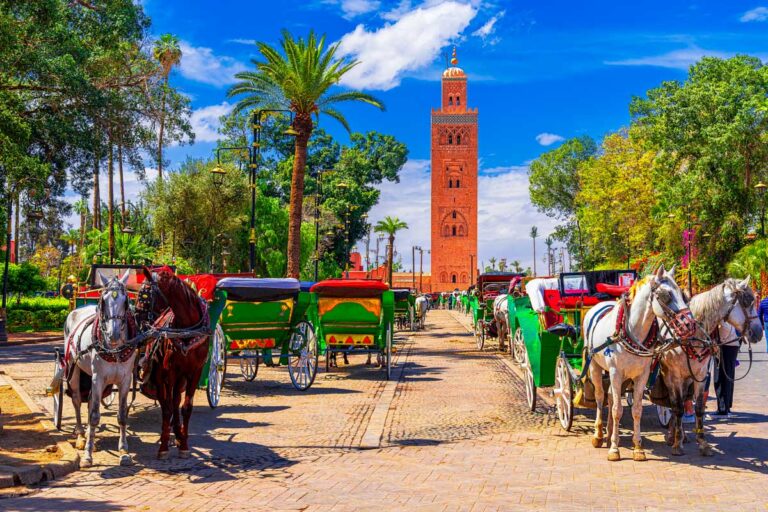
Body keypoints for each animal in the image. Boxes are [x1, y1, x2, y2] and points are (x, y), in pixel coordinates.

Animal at [57, 271, 137, 467]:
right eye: (103, 301)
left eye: (126, 301)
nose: (113, 335)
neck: (114, 351)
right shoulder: (97, 377)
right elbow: (94, 416)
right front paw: (87, 455)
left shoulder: (125, 379)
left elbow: (122, 415)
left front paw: (124, 451)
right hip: (74, 369)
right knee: (77, 400)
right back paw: (80, 435)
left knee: (91, 399)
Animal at [136, 267, 210, 459]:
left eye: (144, 293)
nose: (136, 317)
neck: (187, 330)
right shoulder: (169, 372)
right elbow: (167, 406)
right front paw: (163, 446)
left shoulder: (195, 372)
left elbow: (186, 407)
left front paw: (183, 443)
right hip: (162, 375)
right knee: (167, 403)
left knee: (175, 401)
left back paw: (177, 434)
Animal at [583, 265, 695, 462]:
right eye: (666, 295)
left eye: (683, 294)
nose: (689, 324)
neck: (631, 331)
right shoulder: (616, 372)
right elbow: (617, 410)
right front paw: (614, 449)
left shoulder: (641, 375)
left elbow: (636, 410)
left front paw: (637, 448)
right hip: (595, 366)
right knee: (599, 397)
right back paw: (599, 435)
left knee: (610, 395)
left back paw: (610, 433)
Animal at [659, 276, 762, 456]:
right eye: (748, 302)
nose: (760, 332)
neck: (689, 335)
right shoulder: (675, 376)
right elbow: (677, 408)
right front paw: (677, 444)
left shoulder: (700, 375)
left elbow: (699, 407)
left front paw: (703, 443)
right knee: (674, 405)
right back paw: (675, 435)